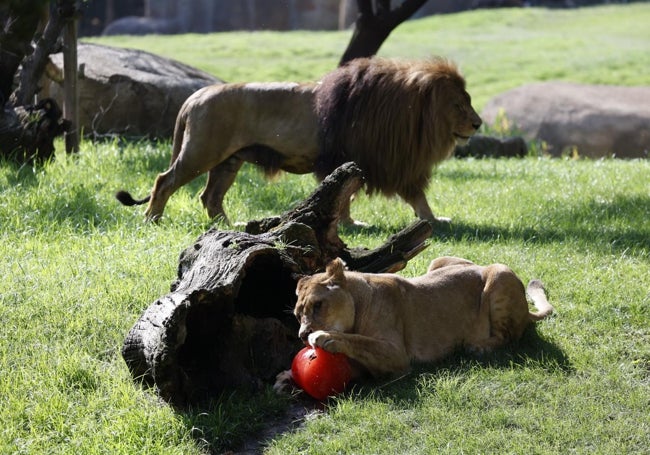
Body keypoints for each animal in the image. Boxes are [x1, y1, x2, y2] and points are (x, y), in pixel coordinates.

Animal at [115, 58, 480, 225]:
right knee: (164, 181)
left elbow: (414, 197)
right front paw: (351, 223)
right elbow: (349, 196)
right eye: (459, 105)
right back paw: (152, 219)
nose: (478, 123)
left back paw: (228, 227)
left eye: (469, 101)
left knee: (210, 196)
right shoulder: (358, 159)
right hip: (201, 151)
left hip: (228, 161)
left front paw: (433, 221)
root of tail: (196, 95)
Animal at [284, 256, 552, 382]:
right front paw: (285, 380)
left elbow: (359, 340)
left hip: (500, 275)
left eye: (318, 305)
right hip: (439, 260)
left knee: (510, 336)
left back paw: (478, 347)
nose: (303, 335)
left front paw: (325, 336)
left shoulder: (397, 355)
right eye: (298, 315)